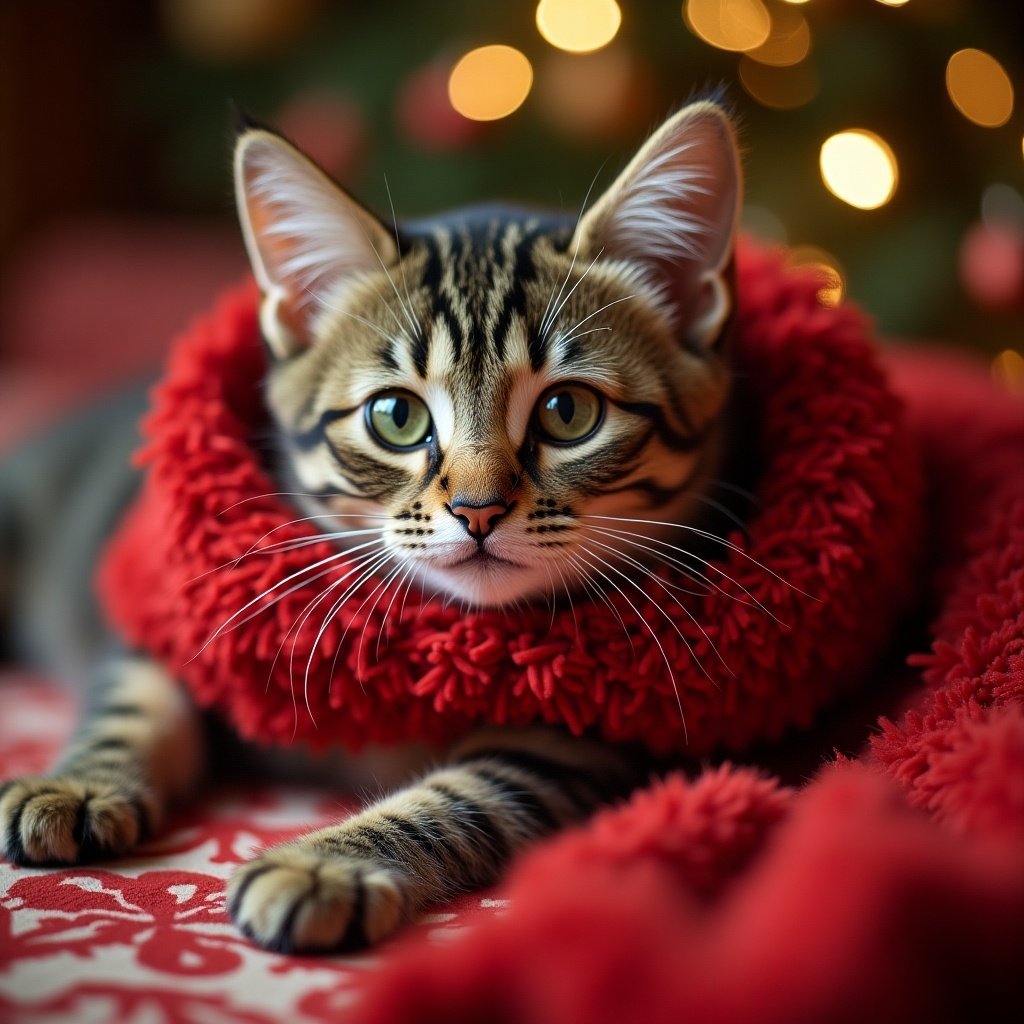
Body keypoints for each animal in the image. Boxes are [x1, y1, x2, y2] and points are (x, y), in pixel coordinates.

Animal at [0, 99, 737, 954]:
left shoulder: (584, 741)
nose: (478, 509)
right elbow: (133, 699)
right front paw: (76, 783)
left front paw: (327, 865)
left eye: (568, 411)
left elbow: (466, 796)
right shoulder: (177, 610)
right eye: (396, 416)